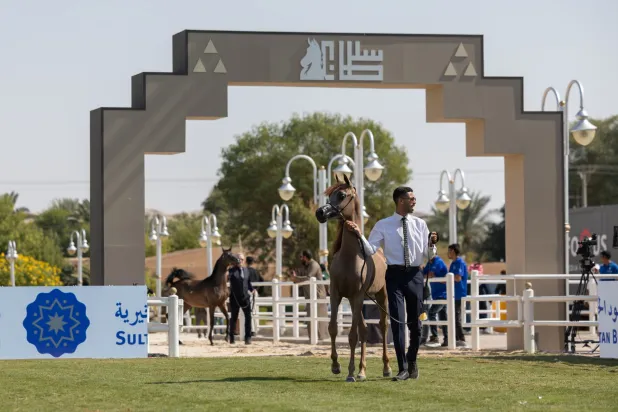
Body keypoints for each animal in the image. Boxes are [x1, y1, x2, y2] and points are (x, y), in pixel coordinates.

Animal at [312, 175, 390, 382]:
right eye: (329, 195)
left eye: (342, 195)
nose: (320, 212)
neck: (350, 257)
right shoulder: (337, 294)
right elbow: (333, 328)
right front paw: (336, 366)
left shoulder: (357, 295)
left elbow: (352, 336)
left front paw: (350, 372)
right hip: (359, 302)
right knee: (364, 329)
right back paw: (362, 370)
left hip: (380, 296)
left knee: (382, 326)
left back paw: (385, 368)